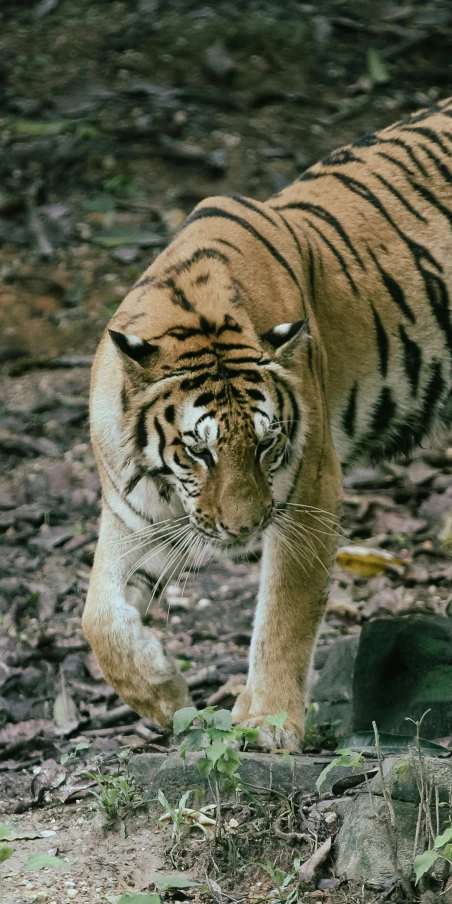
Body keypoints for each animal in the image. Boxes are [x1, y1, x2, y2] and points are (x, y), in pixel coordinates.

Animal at [83, 97, 452, 748]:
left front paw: (266, 724)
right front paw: (165, 694)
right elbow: (98, 617)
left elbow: (284, 614)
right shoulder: (133, 516)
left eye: (265, 444)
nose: (244, 528)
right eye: (197, 451)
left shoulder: (311, 493)